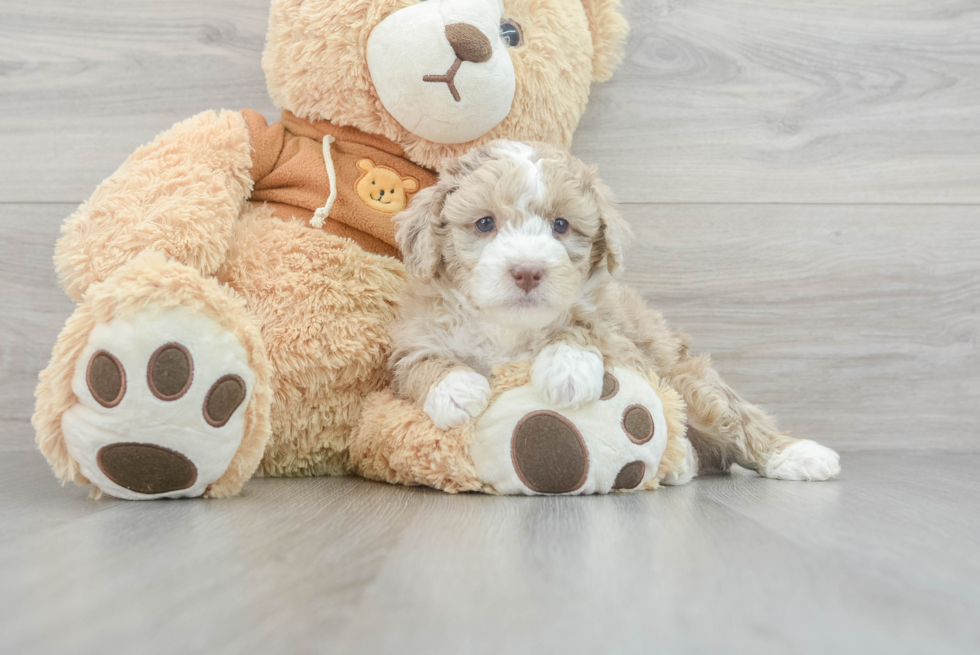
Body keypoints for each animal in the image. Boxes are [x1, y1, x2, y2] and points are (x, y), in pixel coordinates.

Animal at [392, 142, 844, 482]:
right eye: (485, 223)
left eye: (561, 225)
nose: (528, 271)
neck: (509, 329)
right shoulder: (414, 333)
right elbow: (418, 361)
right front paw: (456, 390)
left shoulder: (621, 336)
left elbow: (583, 326)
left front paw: (568, 368)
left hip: (693, 383)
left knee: (738, 419)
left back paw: (800, 455)